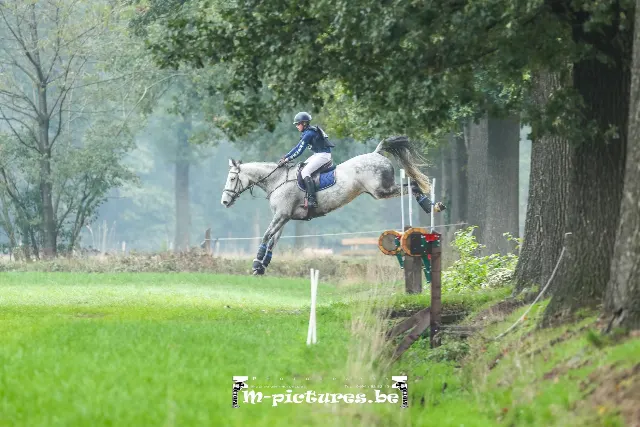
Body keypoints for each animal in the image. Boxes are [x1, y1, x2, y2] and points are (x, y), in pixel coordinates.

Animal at [220, 136, 445, 275]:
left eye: (231, 179)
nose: (224, 201)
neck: (277, 181)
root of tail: (377, 153)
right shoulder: (284, 218)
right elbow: (273, 240)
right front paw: (262, 265)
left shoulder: (281, 215)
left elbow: (266, 236)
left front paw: (256, 261)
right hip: (383, 189)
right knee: (413, 185)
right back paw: (434, 206)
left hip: (381, 191)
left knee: (413, 185)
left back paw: (431, 206)